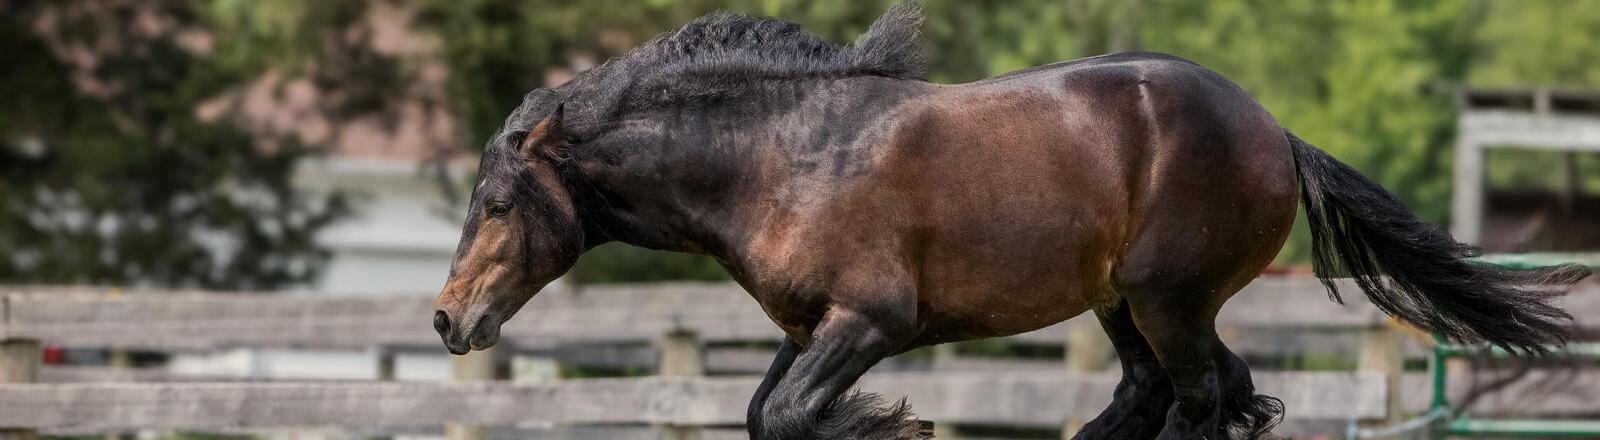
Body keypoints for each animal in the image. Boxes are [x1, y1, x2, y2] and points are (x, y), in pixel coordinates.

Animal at [428, 2, 1587, 438]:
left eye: (496, 202)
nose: (447, 319)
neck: (781, 157)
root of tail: (1277, 132)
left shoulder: (870, 322)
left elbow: (794, 416)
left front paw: (889, 421)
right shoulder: (807, 329)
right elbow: (764, 413)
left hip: (1167, 297)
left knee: (1194, 399)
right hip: (1129, 304)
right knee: (1180, 394)